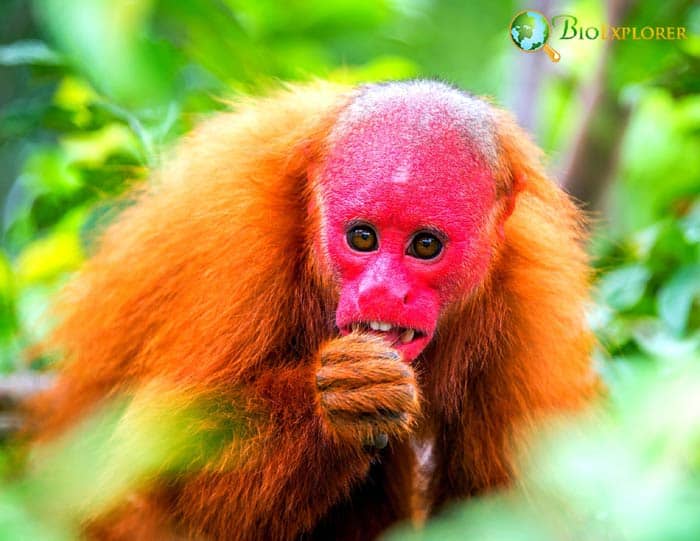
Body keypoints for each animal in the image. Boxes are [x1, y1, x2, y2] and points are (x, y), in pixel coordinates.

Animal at [29, 80, 597, 540]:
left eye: (425, 245)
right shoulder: (237, 243)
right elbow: (167, 469)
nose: (382, 292)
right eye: (362, 237)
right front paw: (341, 399)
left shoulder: (529, 301)